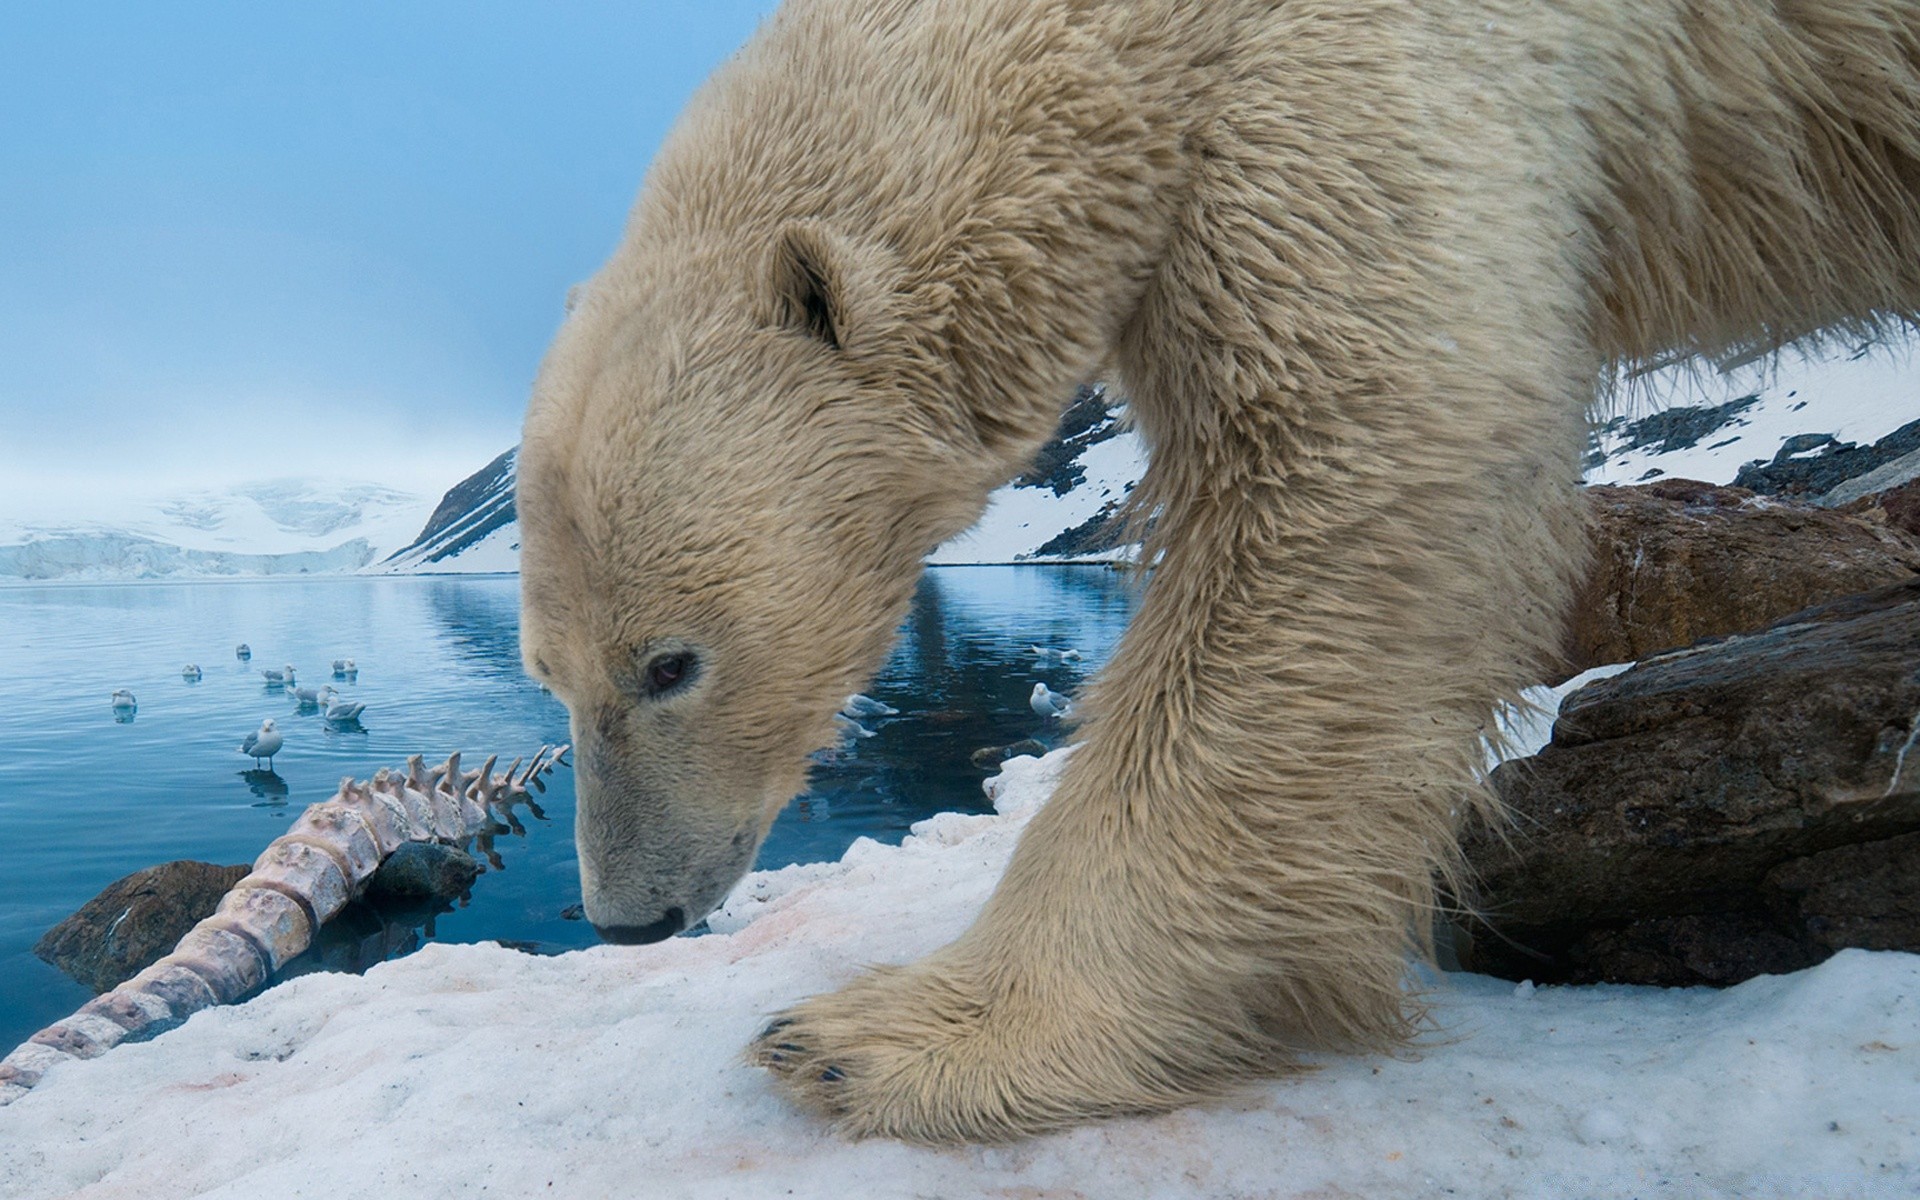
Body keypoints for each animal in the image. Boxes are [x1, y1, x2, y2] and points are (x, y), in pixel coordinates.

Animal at [510, 0, 1920, 1144]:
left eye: (671, 663)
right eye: (548, 675)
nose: (626, 918)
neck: (1135, 31)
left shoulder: (1359, 75)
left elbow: (1352, 465)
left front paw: (888, 1039)